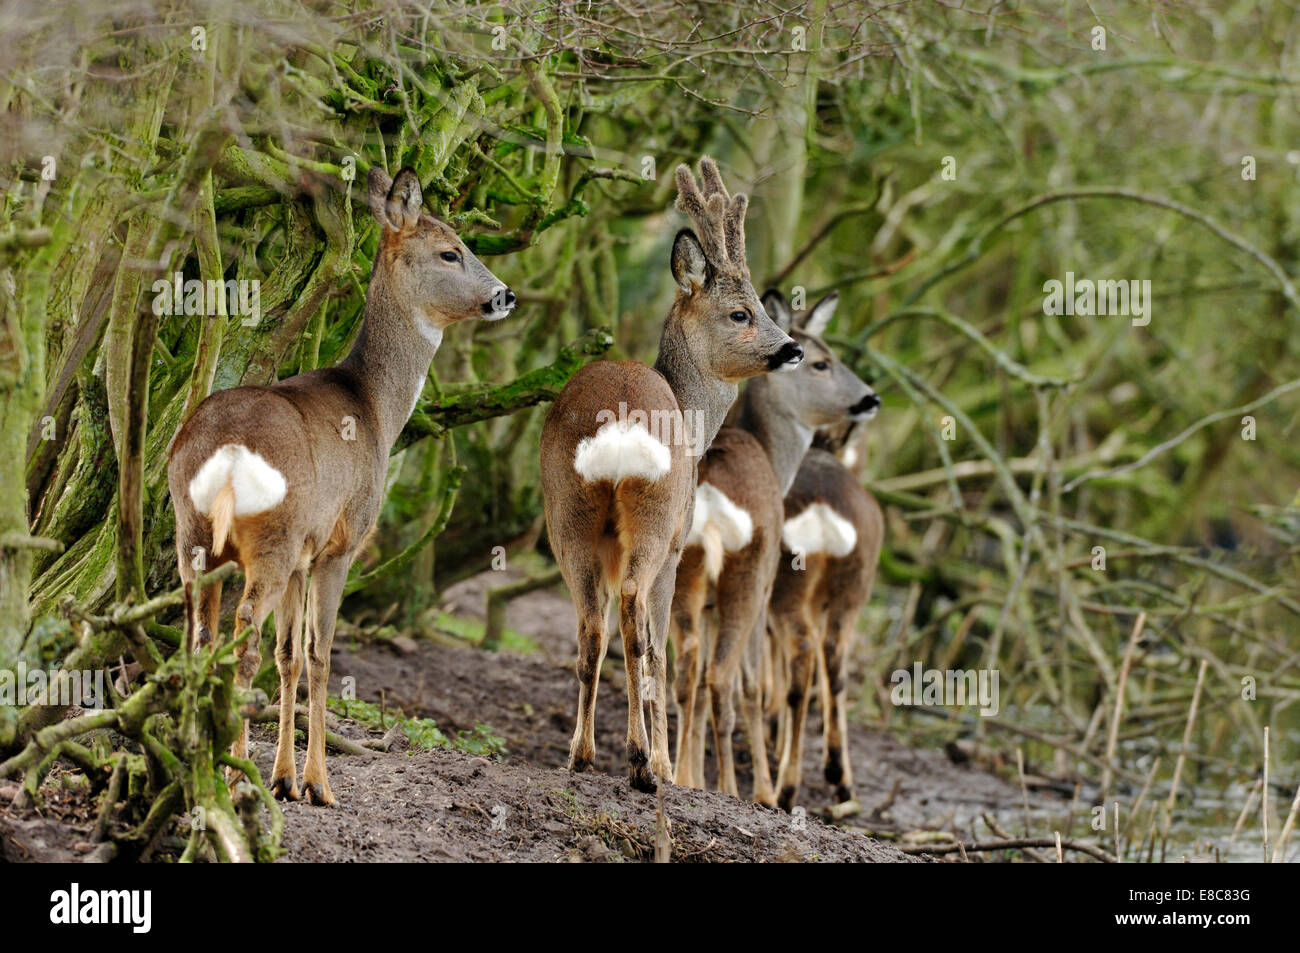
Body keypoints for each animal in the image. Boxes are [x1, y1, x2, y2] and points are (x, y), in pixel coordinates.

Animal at [167, 166, 516, 806]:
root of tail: (224, 454)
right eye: (450, 251)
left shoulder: (305, 555)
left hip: (193, 534)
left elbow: (289, 656)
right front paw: (316, 784)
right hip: (271, 539)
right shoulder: (339, 544)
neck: (374, 406)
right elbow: (320, 654)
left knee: (200, 638)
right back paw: (233, 776)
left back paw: (197, 765)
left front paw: (283, 778)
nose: (506, 295)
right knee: (242, 639)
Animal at [540, 157, 803, 793]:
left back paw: (580, 754)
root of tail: (618, 429)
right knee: (639, 623)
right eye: (741, 312)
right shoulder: (680, 546)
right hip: (657, 521)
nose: (792, 349)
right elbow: (662, 647)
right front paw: (662, 761)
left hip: (566, 516)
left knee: (592, 628)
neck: (691, 409)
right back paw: (644, 764)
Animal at [670, 288, 879, 804]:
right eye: (823, 362)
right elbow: (751, 685)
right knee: (744, 674)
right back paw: (774, 788)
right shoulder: (762, 593)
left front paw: (690, 773)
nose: (871, 398)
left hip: (689, 574)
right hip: (762, 582)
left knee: (690, 670)